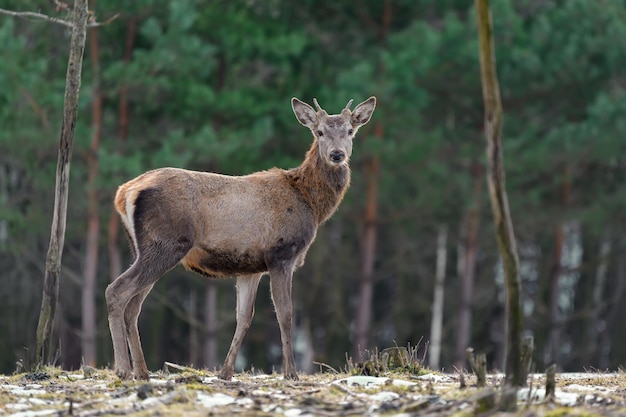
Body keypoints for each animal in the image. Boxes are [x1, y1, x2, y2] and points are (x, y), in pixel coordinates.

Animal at [105, 95, 376, 380]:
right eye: (320, 132)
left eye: (350, 131)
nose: (337, 154)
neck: (310, 203)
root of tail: (124, 192)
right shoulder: (281, 254)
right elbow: (285, 314)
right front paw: (291, 373)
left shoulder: (251, 267)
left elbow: (244, 317)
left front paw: (225, 372)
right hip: (166, 243)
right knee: (117, 290)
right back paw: (123, 369)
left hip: (143, 248)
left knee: (134, 305)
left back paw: (142, 371)